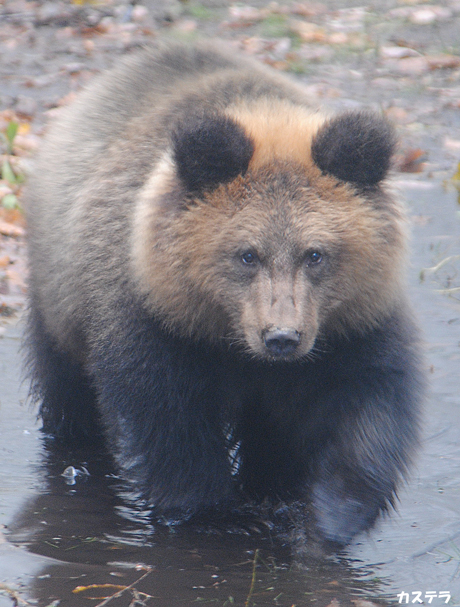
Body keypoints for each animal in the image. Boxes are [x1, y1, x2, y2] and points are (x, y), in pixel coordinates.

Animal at [25, 41, 426, 548]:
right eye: (247, 254)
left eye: (315, 254)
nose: (281, 337)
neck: (234, 343)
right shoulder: (155, 322)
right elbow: (169, 422)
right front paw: (217, 514)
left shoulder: (351, 324)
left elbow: (371, 408)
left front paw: (326, 515)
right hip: (58, 295)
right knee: (66, 385)